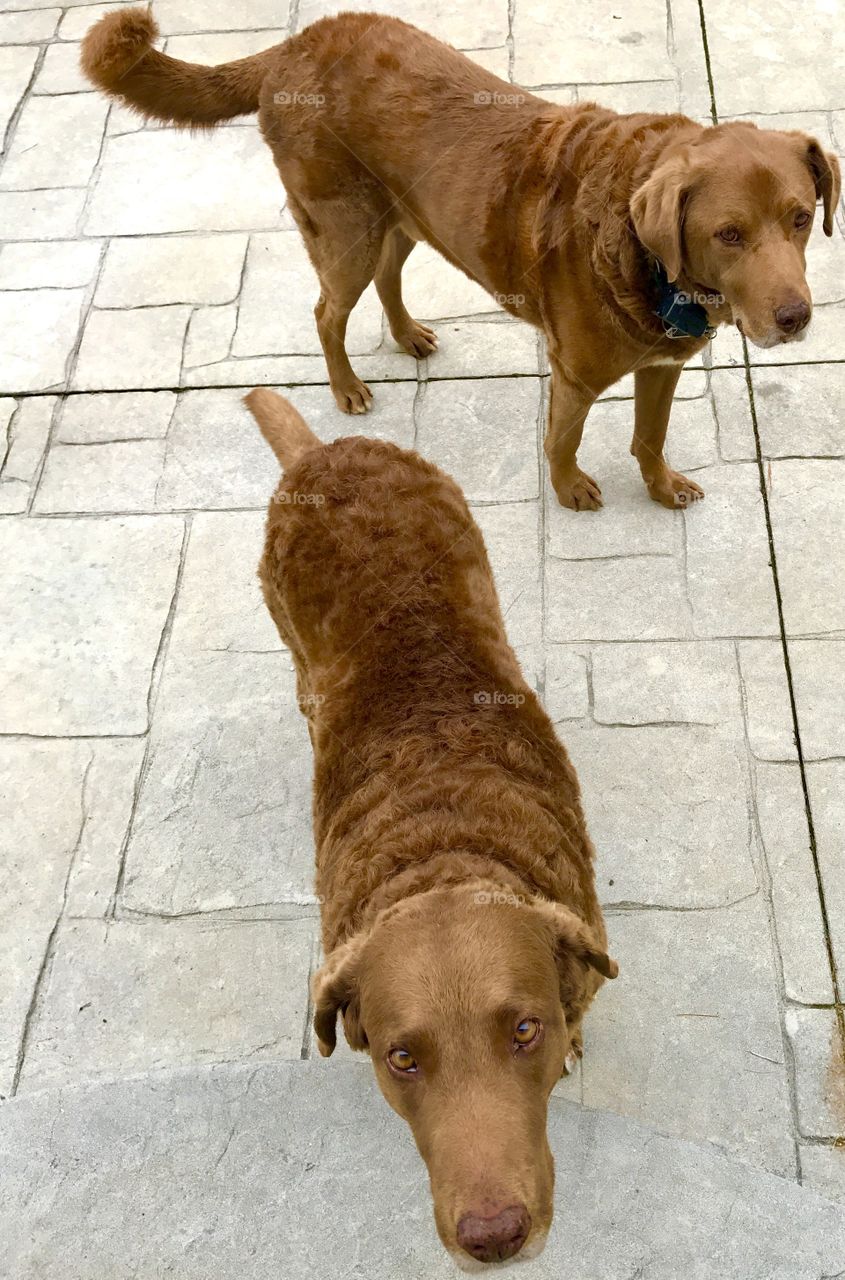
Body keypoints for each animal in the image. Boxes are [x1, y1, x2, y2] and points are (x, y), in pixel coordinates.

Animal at [82, 11, 839, 509]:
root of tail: (292, 44)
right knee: (328, 310)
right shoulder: (574, 374)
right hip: (344, 231)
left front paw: (661, 488)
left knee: (388, 275)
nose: (796, 318)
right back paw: (347, 389)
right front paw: (569, 490)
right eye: (728, 234)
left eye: (801, 219)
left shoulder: (661, 366)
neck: (652, 266)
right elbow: (562, 440)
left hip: (404, 217)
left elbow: (648, 438)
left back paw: (406, 335)